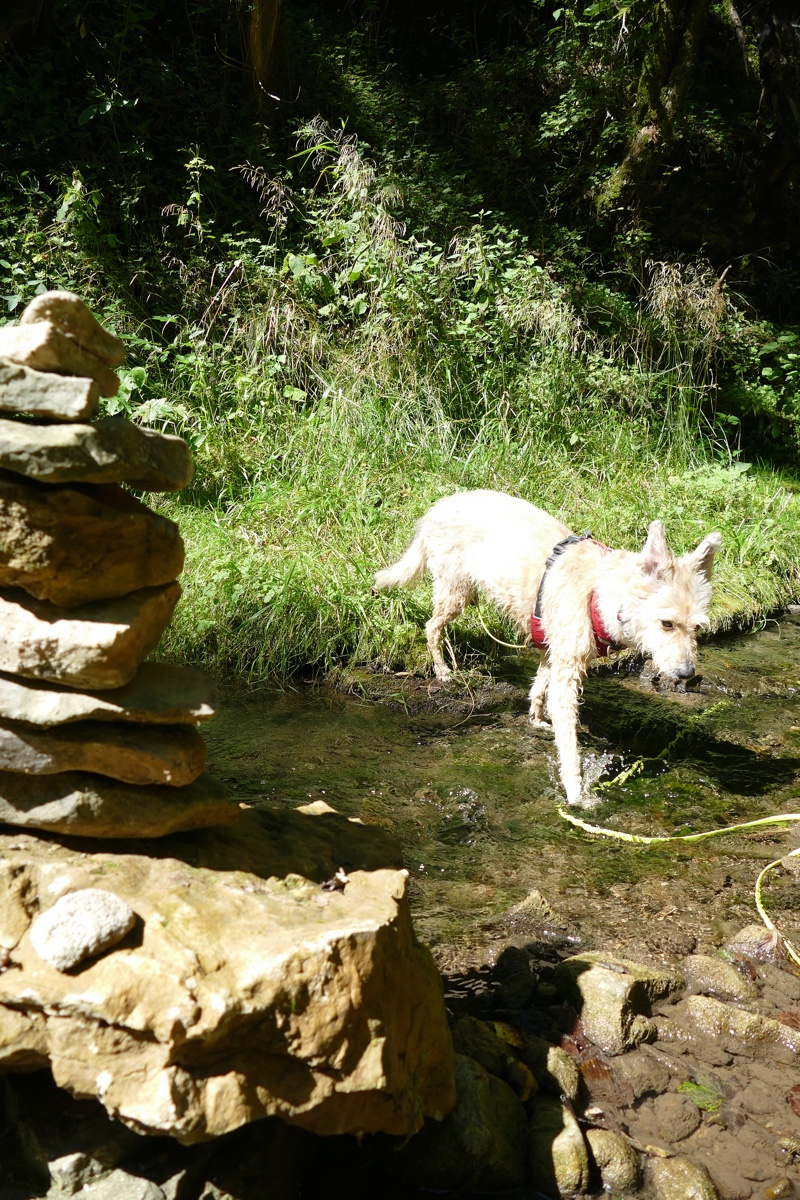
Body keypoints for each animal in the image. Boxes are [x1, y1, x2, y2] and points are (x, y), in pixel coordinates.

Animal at [374, 489, 722, 806]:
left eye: (697, 628)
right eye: (667, 624)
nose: (687, 673)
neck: (600, 593)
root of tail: (439, 506)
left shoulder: (554, 652)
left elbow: (540, 687)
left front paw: (538, 719)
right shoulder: (567, 673)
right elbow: (568, 743)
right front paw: (576, 791)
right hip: (456, 592)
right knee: (431, 627)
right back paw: (443, 670)